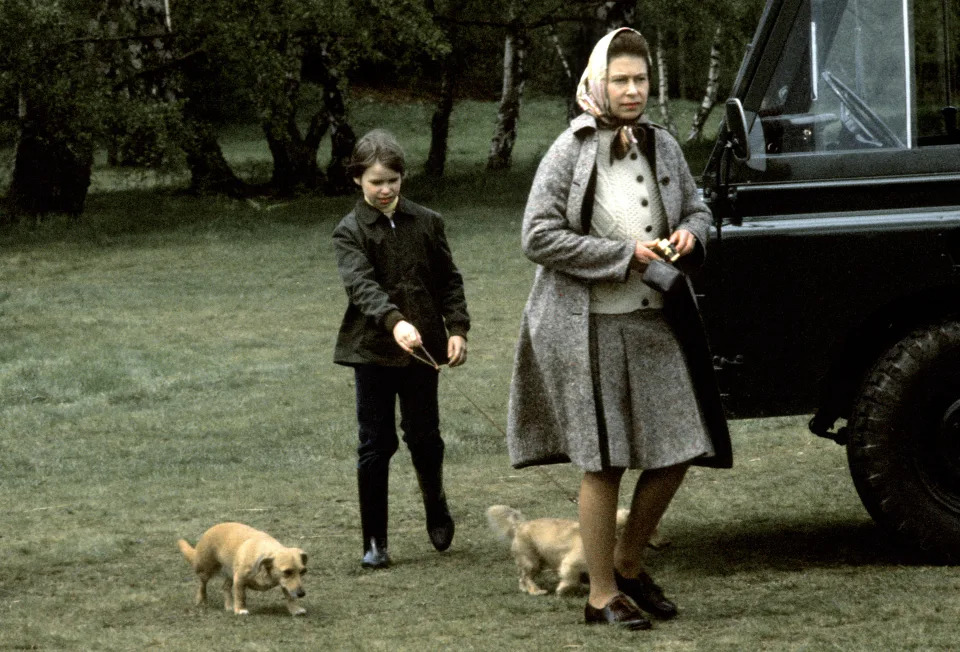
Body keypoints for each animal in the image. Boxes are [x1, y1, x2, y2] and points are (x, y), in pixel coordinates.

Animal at [175, 520, 304, 616]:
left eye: (303, 571)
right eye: (287, 572)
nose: (302, 594)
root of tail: (210, 530)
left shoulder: (286, 584)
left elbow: (290, 596)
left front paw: (295, 609)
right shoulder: (240, 579)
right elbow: (240, 595)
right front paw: (241, 610)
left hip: (230, 572)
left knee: (225, 587)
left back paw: (229, 606)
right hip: (206, 570)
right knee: (202, 585)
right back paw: (201, 600)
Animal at [488, 504, 632, 596]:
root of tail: (519, 526)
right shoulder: (570, 563)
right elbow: (570, 579)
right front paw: (562, 589)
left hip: (538, 562)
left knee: (522, 578)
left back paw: (526, 589)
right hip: (531, 561)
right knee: (526, 577)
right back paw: (536, 591)